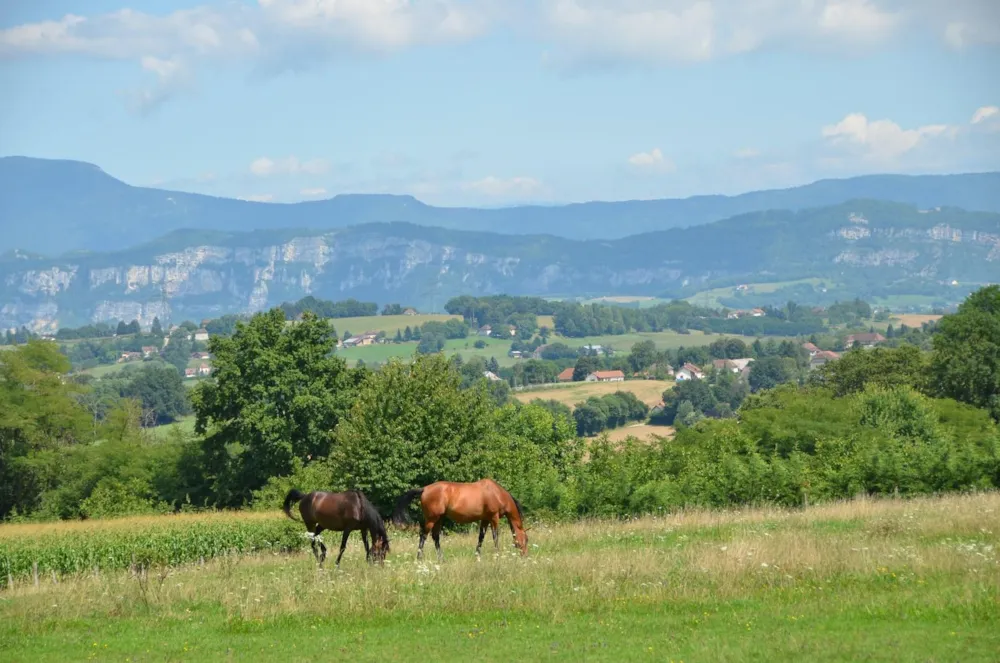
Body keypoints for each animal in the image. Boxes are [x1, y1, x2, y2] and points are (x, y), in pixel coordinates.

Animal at [392, 478, 532, 560]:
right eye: (526, 539)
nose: (525, 555)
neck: (496, 493)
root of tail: (424, 489)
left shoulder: (485, 519)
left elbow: (481, 537)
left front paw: (477, 556)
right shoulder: (493, 517)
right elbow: (495, 536)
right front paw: (497, 555)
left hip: (439, 518)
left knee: (435, 536)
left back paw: (441, 559)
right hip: (432, 518)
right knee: (423, 535)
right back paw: (419, 557)